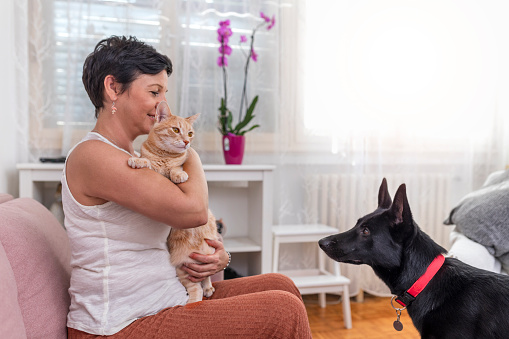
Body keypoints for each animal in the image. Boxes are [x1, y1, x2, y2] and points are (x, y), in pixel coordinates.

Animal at [127, 101, 218, 306]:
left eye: (190, 133)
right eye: (176, 130)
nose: (186, 142)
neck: (165, 156)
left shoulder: (175, 165)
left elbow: (176, 168)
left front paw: (179, 174)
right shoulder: (155, 168)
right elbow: (147, 161)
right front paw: (138, 160)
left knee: (205, 277)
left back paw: (208, 287)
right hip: (183, 268)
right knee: (195, 287)